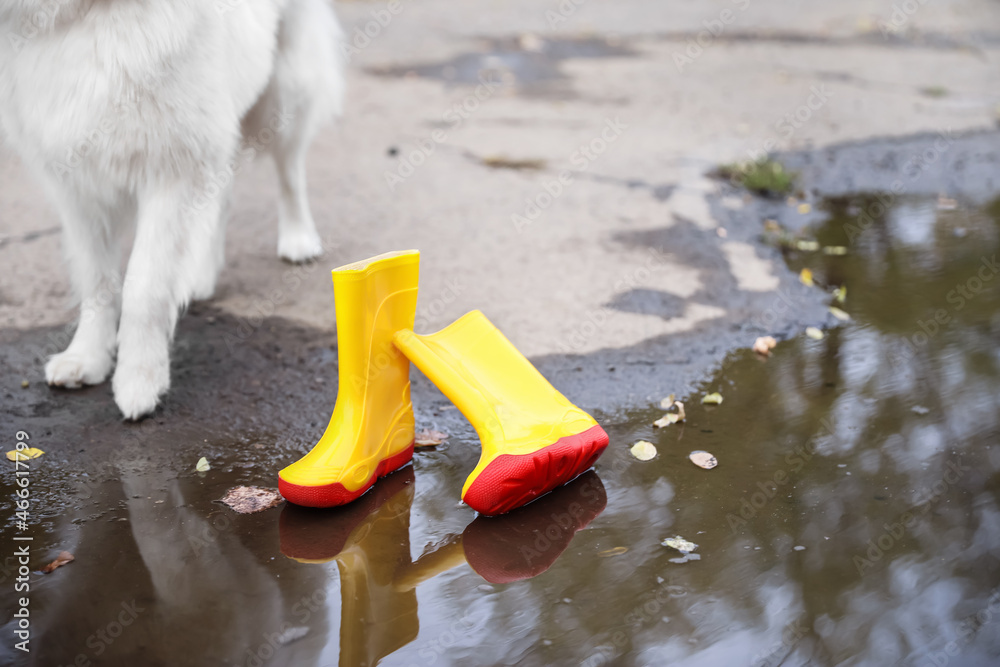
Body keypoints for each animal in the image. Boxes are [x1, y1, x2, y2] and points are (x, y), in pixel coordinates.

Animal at [0, 0, 344, 418]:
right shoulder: (80, 188)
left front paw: (139, 380)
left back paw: (298, 239)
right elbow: (96, 280)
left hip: (283, 94)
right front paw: (87, 358)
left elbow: (144, 287)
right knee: (221, 198)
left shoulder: (170, 172)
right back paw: (200, 275)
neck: (92, 16)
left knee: (290, 171)